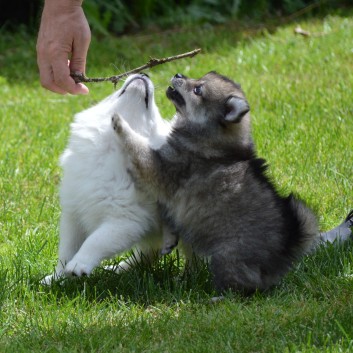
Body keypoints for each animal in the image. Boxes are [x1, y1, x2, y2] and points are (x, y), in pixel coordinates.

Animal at [43, 74, 170, 284]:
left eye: (155, 112)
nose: (144, 75)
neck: (110, 146)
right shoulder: (74, 213)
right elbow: (67, 249)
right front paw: (57, 277)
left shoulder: (125, 220)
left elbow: (95, 241)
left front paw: (78, 265)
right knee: (148, 254)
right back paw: (119, 269)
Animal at [113, 71, 350, 292]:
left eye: (198, 89)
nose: (179, 74)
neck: (213, 139)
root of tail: (287, 247)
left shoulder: (161, 169)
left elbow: (138, 148)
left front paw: (121, 124)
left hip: (227, 257)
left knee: (242, 286)